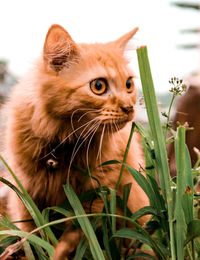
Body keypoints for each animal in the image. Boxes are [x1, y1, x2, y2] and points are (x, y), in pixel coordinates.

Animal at [2, 23, 149, 258]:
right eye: (98, 86)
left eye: (128, 84)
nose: (129, 107)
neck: (63, 143)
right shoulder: (25, 197)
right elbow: (33, 239)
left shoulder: (97, 198)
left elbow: (76, 240)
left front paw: (59, 252)